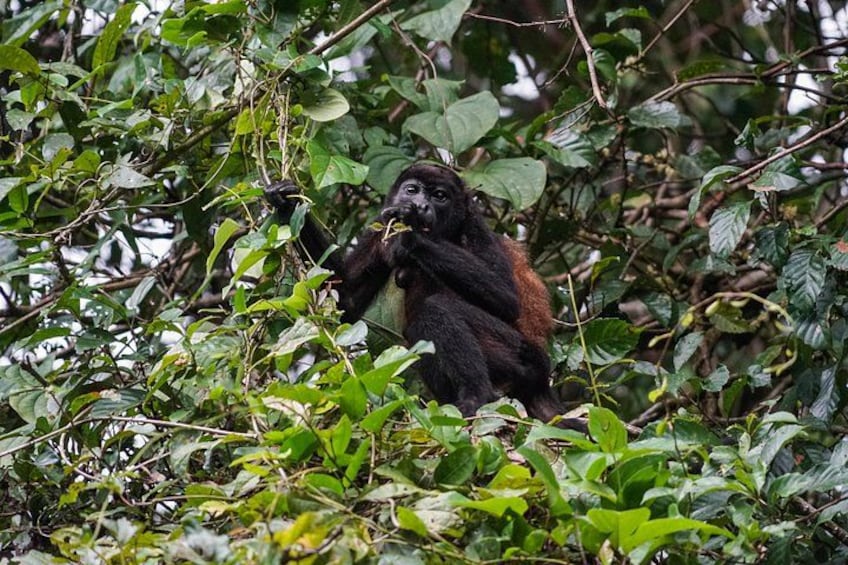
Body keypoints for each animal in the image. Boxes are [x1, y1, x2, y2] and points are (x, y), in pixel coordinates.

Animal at [266, 162, 584, 429]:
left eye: (439, 196)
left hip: (523, 357)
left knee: (436, 309)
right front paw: (287, 202)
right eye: (412, 190)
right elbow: (345, 300)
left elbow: (507, 299)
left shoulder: (474, 225)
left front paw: (411, 236)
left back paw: (476, 396)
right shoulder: (379, 228)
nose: (419, 205)